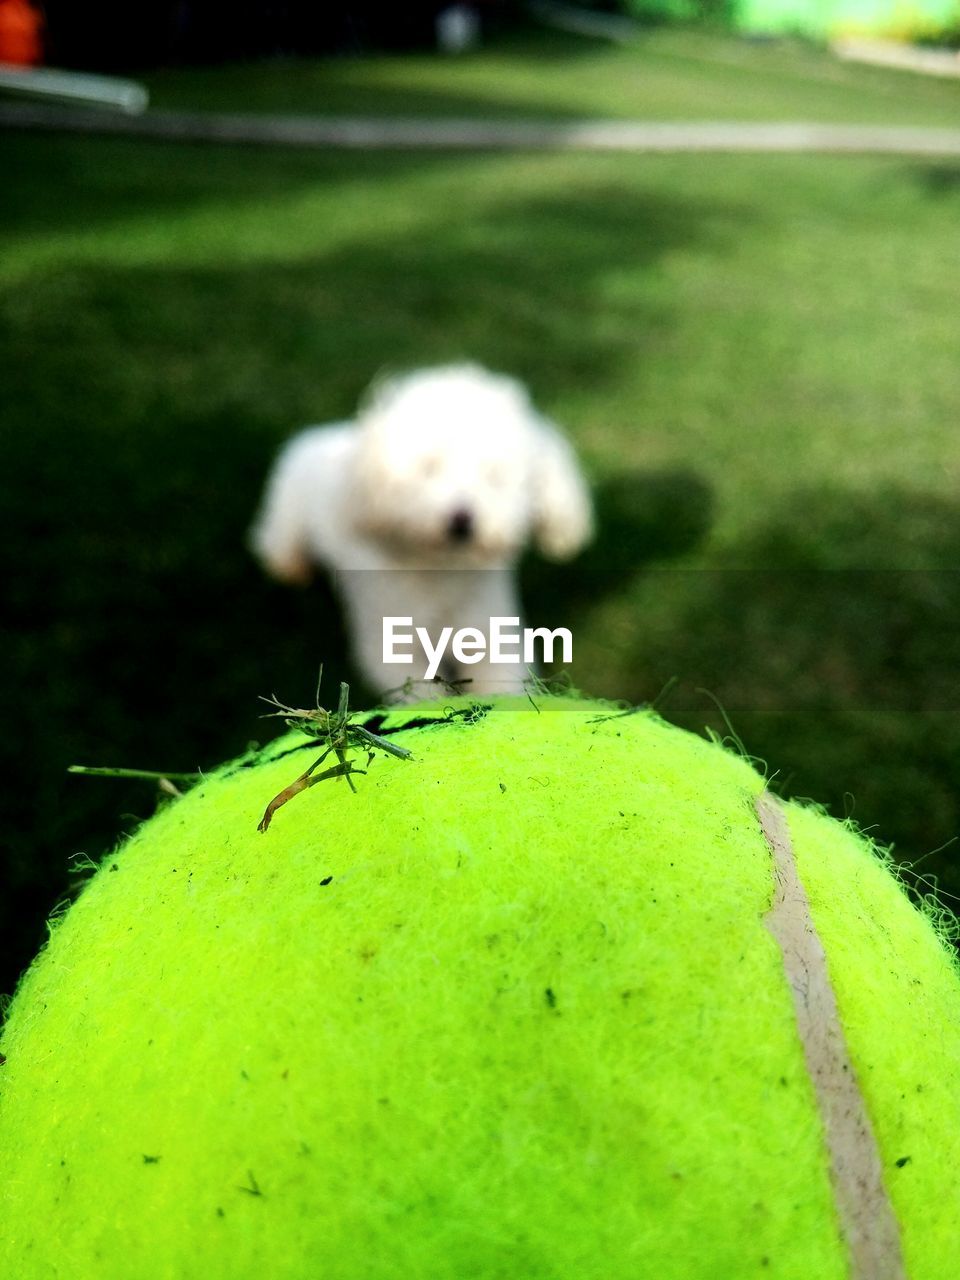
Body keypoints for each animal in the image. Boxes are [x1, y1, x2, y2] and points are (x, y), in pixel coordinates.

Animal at [252, 360, 591, 701]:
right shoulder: (393, 645)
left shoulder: (491, 631)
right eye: (428, 469)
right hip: (288, 515)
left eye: (494, 475)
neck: (442, 574)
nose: (461, 519)